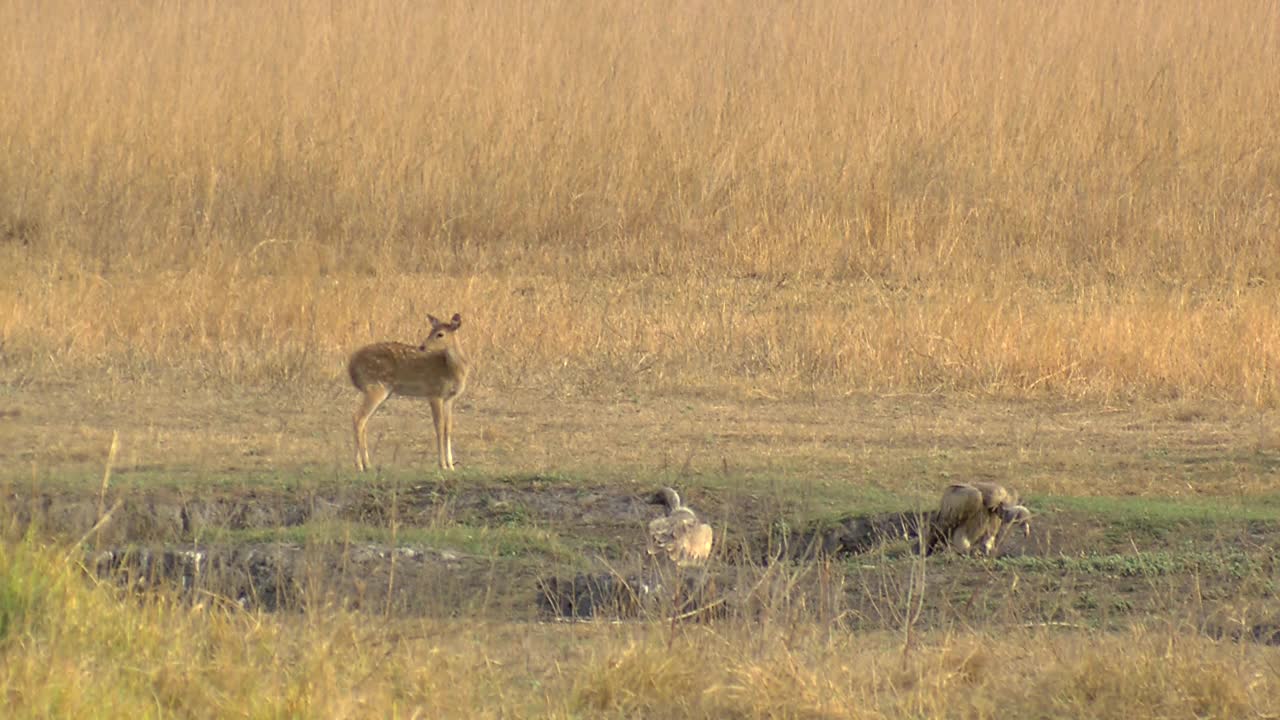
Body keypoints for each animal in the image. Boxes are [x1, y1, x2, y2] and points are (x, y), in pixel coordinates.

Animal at [348, 312, 473, 471]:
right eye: (430, 331)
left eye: (440, 334)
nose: (422, 346)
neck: (451, 369)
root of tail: (351, 366)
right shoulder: (434, 393)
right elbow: (439, 427)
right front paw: (443, 465)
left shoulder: (449, 399)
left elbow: (448, 428)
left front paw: (451, 465)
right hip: (375, 387)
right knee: (357, 418)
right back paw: (362, 465)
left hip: (380, 391)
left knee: (363, 421)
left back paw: (364, 464)